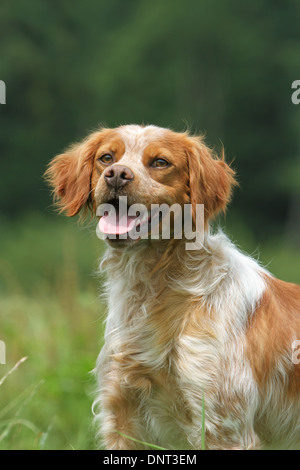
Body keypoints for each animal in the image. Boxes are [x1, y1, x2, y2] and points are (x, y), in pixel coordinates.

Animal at [46, 125, 300, 452]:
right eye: (106, 158)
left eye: (160, 163)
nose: (117, 175)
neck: (154, 289)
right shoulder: (122, 416)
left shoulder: (224, 427)